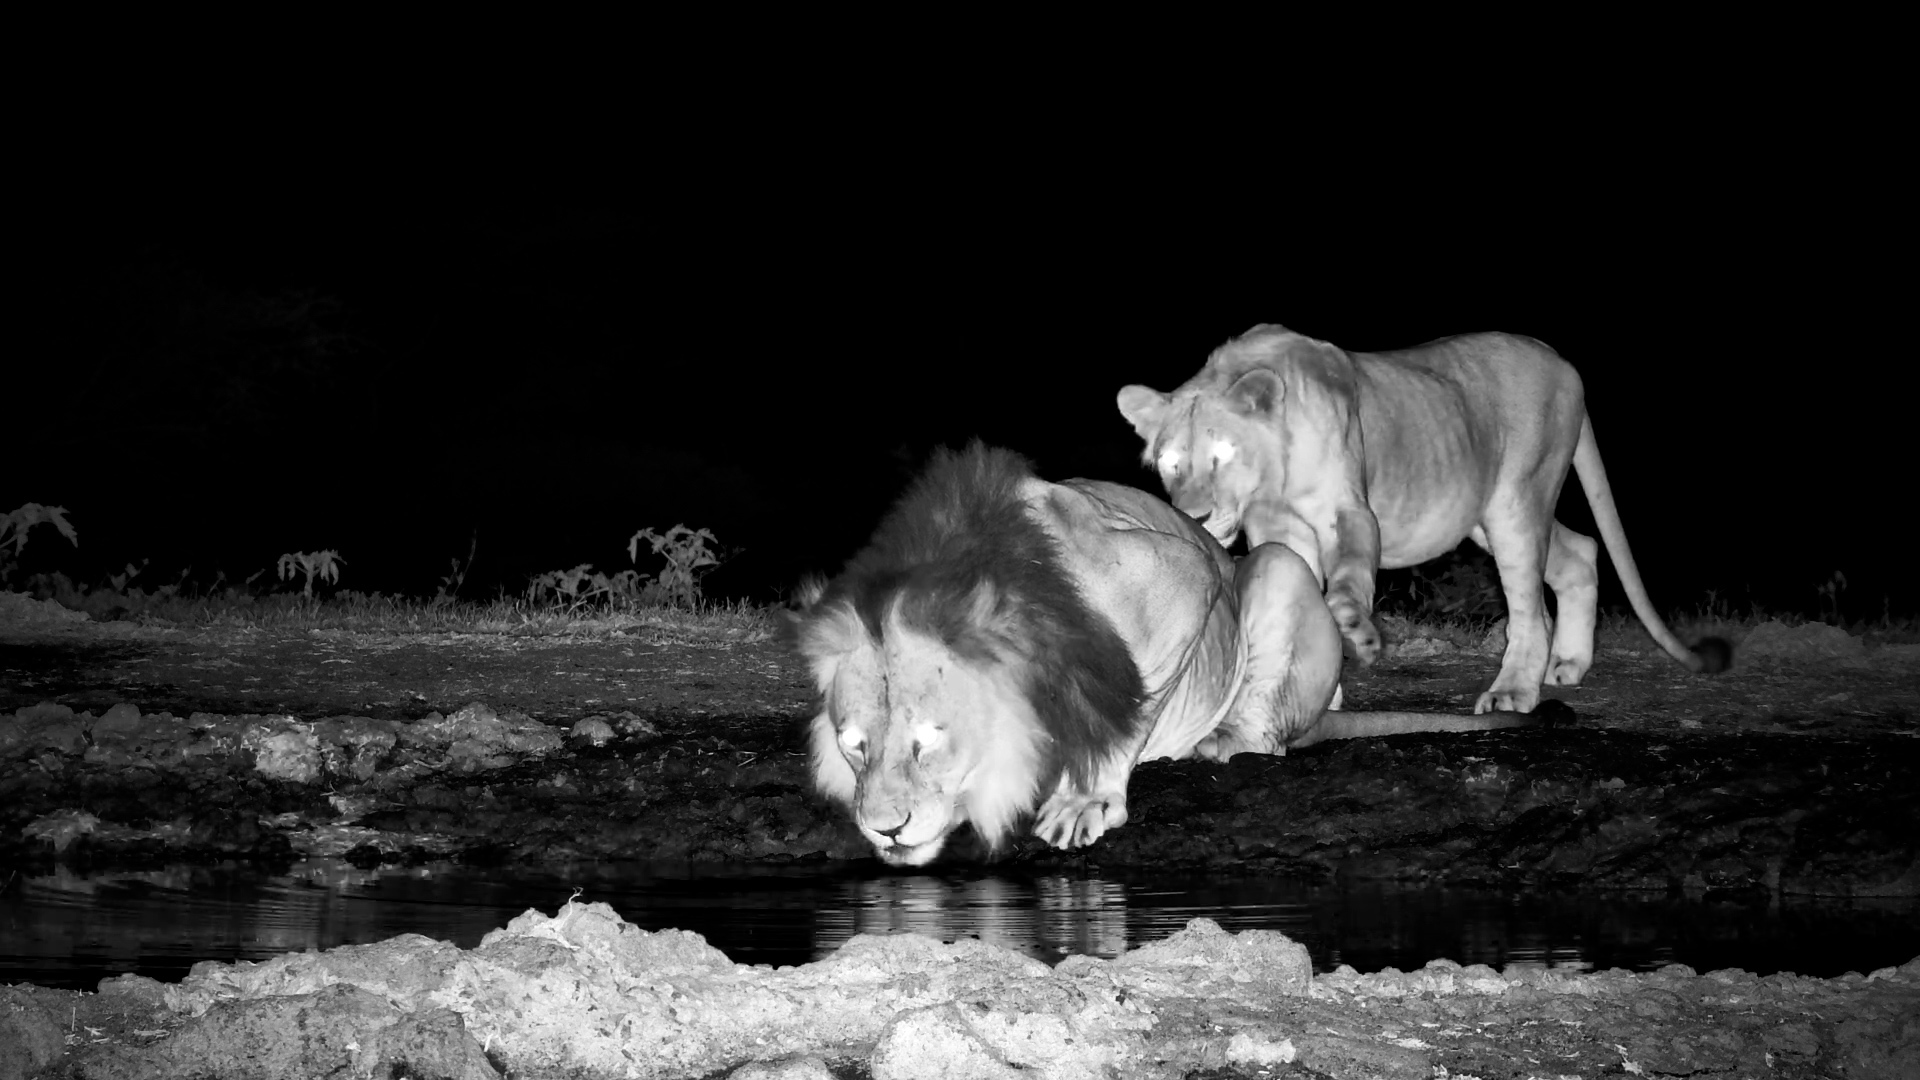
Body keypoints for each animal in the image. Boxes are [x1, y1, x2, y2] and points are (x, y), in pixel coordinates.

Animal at [788, 442, 1554, 866]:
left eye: (927, 743)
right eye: (854, 746)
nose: (885, 829)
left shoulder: (1181, 578)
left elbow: (1128, 705)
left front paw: (1086, 797)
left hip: (1272, 565)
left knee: (1269, 726)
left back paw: (1222, 738)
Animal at [1117, 325, 1730, 716]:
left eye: (1221, 455)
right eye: (1170, 463)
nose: (1195, 514)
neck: (1271, 479)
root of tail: (1560, 361)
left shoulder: (1350, 509)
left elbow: (1346, 580)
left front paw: (1358, 635)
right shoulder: (1278, 530)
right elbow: (1293, 599)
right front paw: (1316, 691)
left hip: (1516, 502)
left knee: (1531, 611)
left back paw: (1514, 692)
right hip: (1487, 515)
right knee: (1580, 551)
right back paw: (1569, 666)